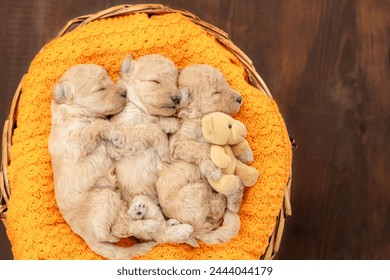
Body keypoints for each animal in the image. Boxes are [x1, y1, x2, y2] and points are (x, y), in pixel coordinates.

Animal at [48, 64, 158, 260]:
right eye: (100, 89)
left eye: (109, 80)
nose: (124, 93)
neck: (74, 113)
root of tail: (89, 240)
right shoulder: (76, 143)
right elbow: (98, 125)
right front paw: (115, 134)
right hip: (104, 198)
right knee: (119, 230)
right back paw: (149, 223)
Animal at [109, 55, 195, 247]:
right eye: (154, 81)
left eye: (175, 82)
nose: (177, 98)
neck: (142, 109)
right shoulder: (122, 135)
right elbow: (150, 128)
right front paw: (163, 149)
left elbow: (158, 122)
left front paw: (169, 122)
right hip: (146, 206)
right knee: (159, 234)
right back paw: (181, 230)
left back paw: (173, 222)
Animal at [156, 64, 245, 244]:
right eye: (216, 93)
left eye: (226, 84)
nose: (240, 98)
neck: (199, 117)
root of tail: (196, 232)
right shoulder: (178, 145)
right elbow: (200, 148)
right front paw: (213, 169)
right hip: (198, 191)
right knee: (215, 213)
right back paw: (226, 197)